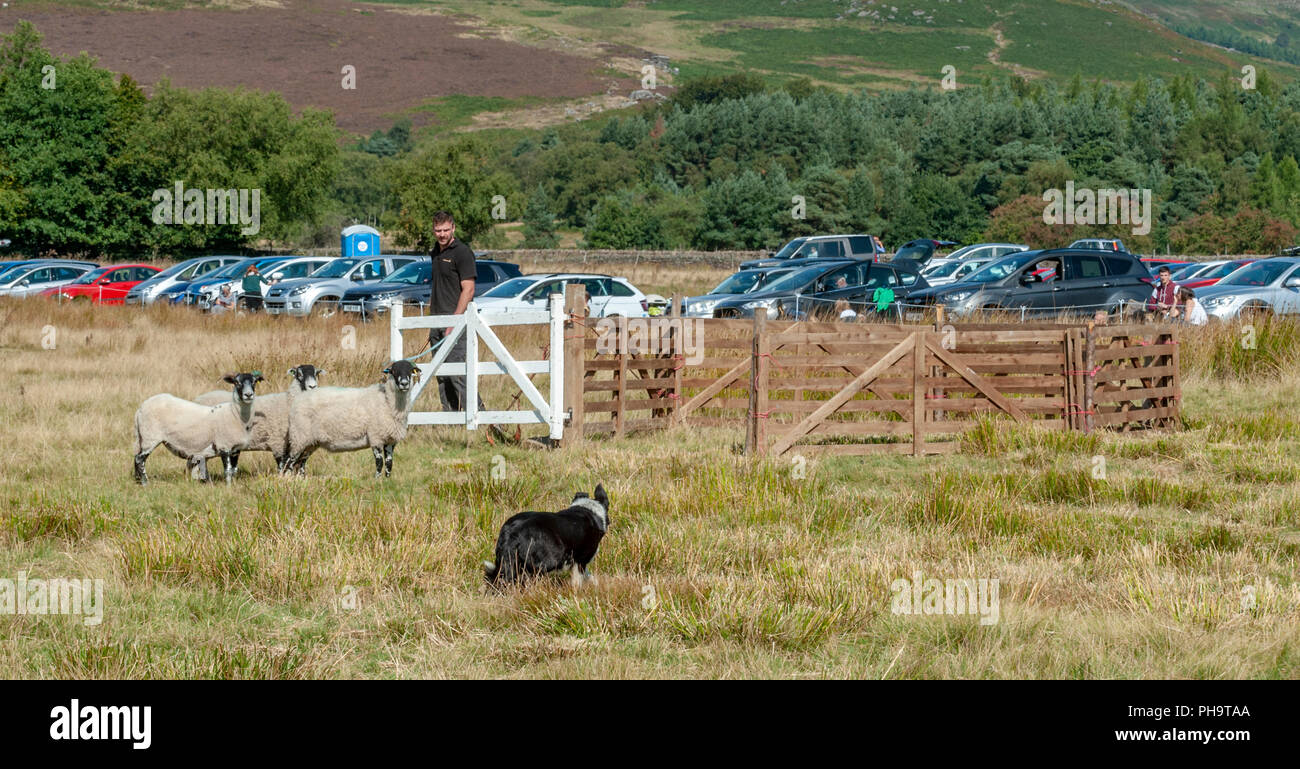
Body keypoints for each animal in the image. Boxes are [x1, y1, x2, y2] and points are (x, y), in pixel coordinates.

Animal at [133, 368, 265, 483]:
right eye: (237, 382)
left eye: (254, 381)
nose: (248, 395)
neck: (234, 414)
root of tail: (140, 409)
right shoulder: (224, 446)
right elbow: (227, 471)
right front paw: (228, 487)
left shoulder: (236, 450)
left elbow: (234, 471)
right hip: (150, 437)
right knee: (139, 460)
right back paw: (145, 483)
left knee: (136, 458)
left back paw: (138, 481)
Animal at [192, 363, 325, 475]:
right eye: (299, 374)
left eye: (316, 373)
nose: (312, 386)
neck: (289, 401)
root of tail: (198, 399)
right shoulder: (278, 443)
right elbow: (282, 467)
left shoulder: (302, 447)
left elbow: (300, 468)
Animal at [286, 358, 421, 478]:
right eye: (393, 371)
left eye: (410, 371)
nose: (404, 383)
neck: (387, 401)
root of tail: (298, 399)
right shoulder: (376, 437)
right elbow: (379, 463)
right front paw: (377, 481)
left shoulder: (390, 440)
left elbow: (389, 463)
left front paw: (387, 481)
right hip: (299, 437)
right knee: (289, 461)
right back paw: (286, 479)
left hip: (310, 442)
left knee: (301, 462)